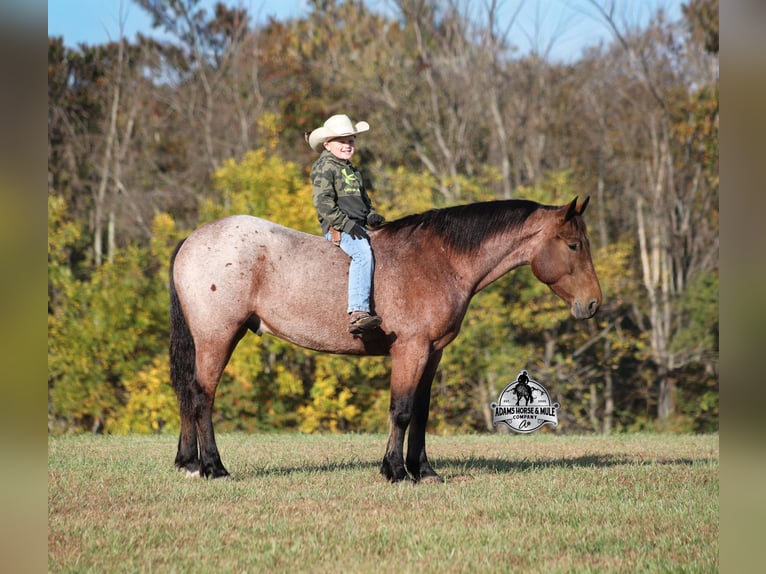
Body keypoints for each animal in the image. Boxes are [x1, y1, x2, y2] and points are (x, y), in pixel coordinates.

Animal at [169, 196, 602, 483]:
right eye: (573, 245)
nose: (593, 303)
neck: (440, 260)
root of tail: (192, 239)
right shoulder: (411, 350)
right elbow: (402, 410)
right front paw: (395, 471)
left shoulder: (432, 353)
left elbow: (422, 412)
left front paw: (423, 470)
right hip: (218, 337)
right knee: (202, 396)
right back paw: (214, 468)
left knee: (188, 395)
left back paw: (189, 463)